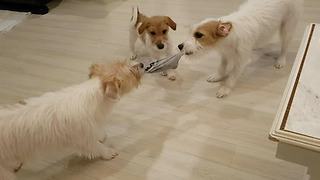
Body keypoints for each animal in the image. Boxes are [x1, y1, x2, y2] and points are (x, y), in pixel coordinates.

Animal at [0, 61, 143, 179]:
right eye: (130, 71)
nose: (142, 64)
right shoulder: (85, 139)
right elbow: (98, 147)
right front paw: (108, 153)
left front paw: (100, 135)